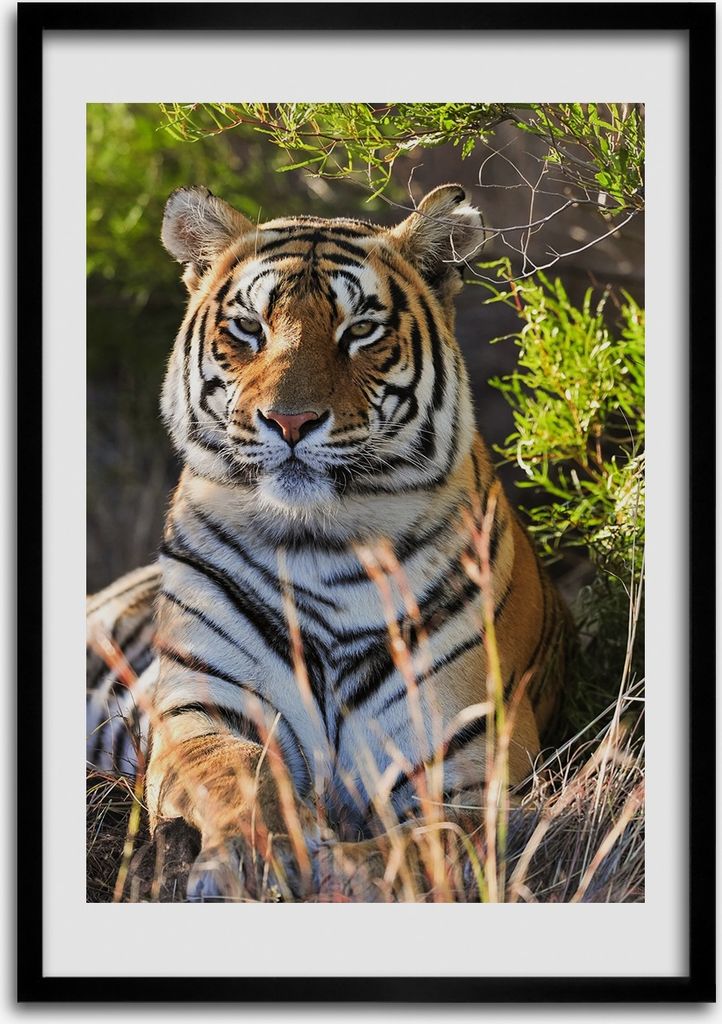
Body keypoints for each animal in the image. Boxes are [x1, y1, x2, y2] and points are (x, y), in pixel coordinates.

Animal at [86, 183, 569, 902]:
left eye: (360, 330)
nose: (290, 421)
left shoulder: (474, 757)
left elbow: (427, 843)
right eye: (249, 329)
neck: (321, 545)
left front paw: (347, 870)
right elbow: (234, 773)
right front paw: (254, 856)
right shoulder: (200, 702)